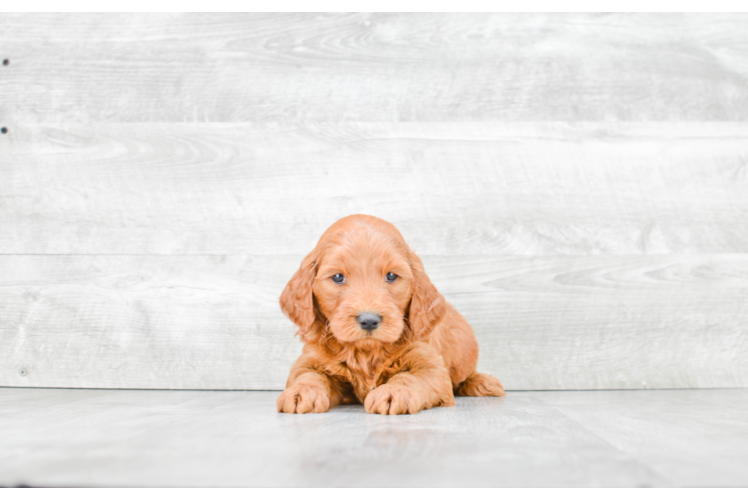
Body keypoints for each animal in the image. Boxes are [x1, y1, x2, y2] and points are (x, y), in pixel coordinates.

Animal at [278, 215, 506, 414]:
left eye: (391, 276)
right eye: (337, 277)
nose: (369, 320)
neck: (366, 352)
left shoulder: (430, 366)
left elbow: (411, 378)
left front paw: (394, 392)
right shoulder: (310, 360)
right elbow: (307, 375)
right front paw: (300, 392)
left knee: (464, 376)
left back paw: (483, 382)